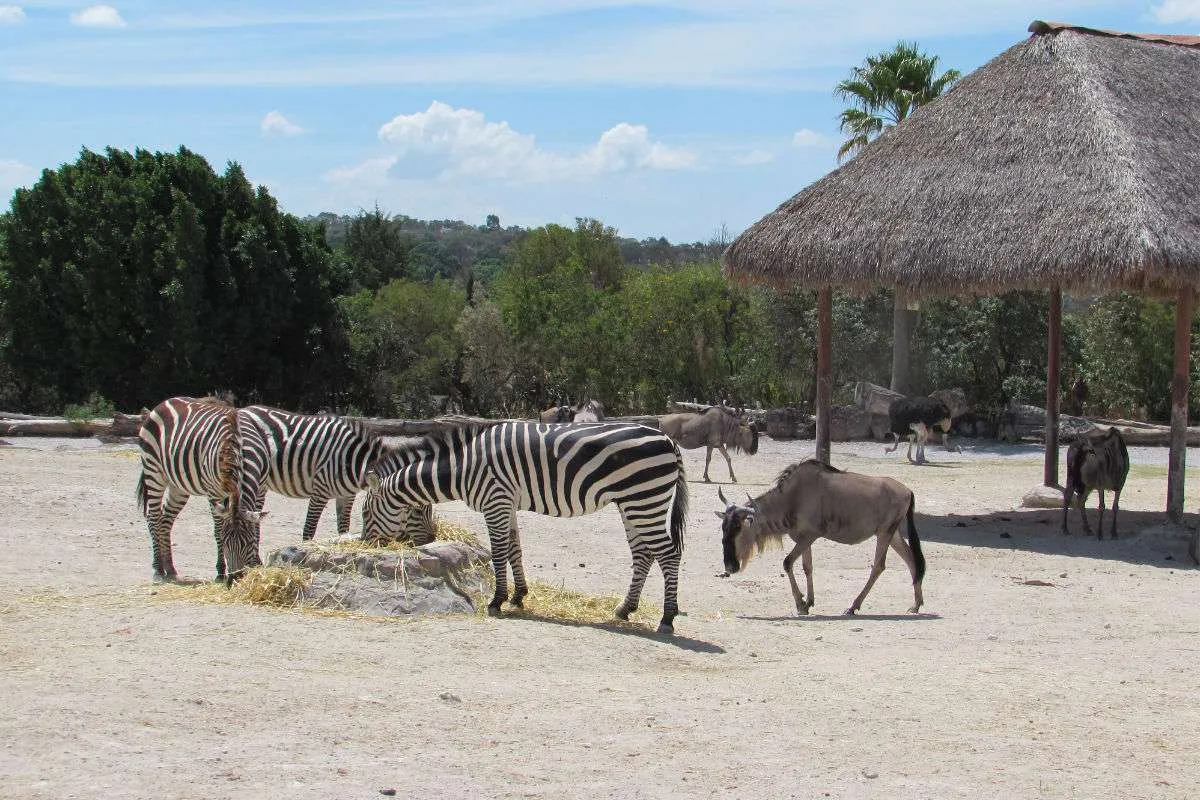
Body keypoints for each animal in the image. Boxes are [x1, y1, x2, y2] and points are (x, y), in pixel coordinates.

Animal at [136, 398, 267, 585]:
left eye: (248, 543)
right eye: (226, 544)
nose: (234, 579)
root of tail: (165, 402)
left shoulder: (261, 489)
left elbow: (257, 528)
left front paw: (256, 563)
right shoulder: (214, 492)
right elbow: (218, 530)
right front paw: (220, 572)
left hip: (178, 486)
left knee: (165, 518)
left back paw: (170, 569)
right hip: (154, 471)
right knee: (153, 517)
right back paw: (158, 570)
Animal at [360, 419, 691, 633]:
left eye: (365, 513)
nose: (364, 544)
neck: (463, 467)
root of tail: (668, 439)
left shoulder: (495, 500)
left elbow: (498, 553)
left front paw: (496, 601)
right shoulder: (507, 503)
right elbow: (514, 550)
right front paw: (518, 596)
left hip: (644, 498)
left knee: (668, 554)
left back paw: (667, 618)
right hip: (632, 502)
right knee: (643, 554)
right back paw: (625, 609)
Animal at [710, 460, 926, 618]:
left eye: (739, 528)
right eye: (723, 528)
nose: (730, 567)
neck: (793, 497)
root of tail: (908, 491)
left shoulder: (811, 535)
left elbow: (787, 562)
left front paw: (800, 604)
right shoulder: (803, 538)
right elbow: (807, 566)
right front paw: (808, 602)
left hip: (884, 533)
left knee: (878, 566)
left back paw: (853, 607)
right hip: (893, 534)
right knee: (911, 560)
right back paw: (915, 605)